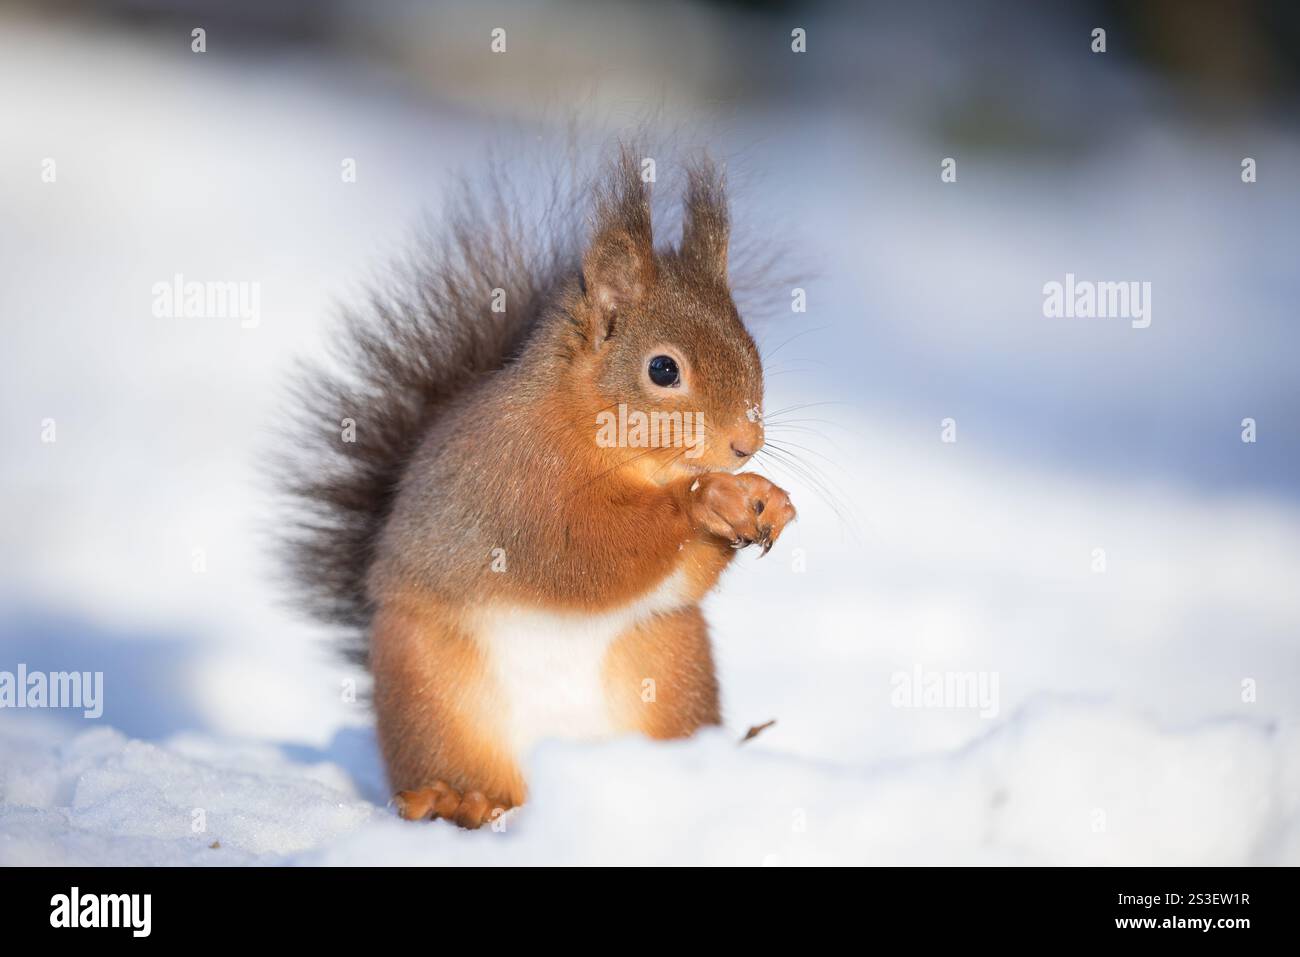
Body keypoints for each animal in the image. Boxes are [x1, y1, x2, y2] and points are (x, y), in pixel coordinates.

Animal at [280, 146, 795, 829]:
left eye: (751, 347)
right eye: (663, 369)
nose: (745, 444)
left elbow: (679, 579)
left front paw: (766, 499)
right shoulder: (518, 486)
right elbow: (584, 552)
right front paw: (708, 500)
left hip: (670, 671)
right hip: (434, 693)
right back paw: (459, 801)